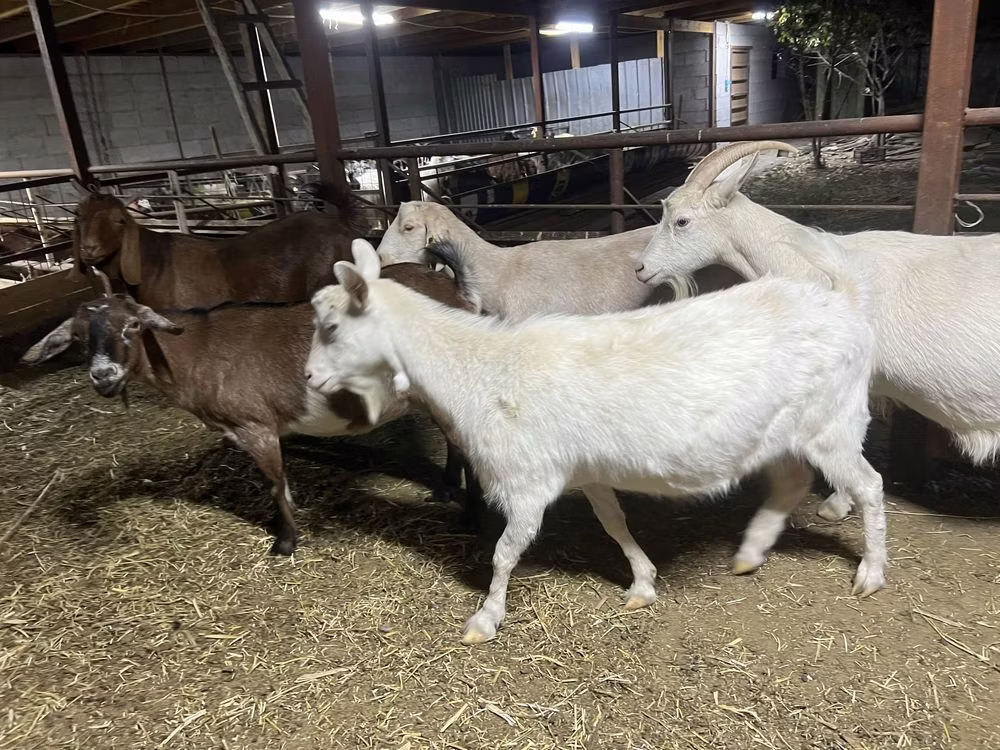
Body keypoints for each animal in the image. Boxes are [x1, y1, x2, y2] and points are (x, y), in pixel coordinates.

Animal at [23, 263, 480, 556]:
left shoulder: (254, 425)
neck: (195, 354)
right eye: (79, 336)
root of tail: (453, 290)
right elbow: (282, 483)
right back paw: (445, 489)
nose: (104, 375)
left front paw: (285, 543)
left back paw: (462, 507)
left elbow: (274, 484)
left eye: (132, 326)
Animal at [306, 238, 888, 645]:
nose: (309, 377)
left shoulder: (527, 481)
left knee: (869, 486)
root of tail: (844, 303)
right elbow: (613, 522)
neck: (479, 369)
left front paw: (485, 620)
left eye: (331, 327)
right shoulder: (585, 472)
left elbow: (504, 553)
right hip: (787, 432)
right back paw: (749, 552)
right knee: (791, 482)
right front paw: (643, 584)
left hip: (833, 421)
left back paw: (872, 573)